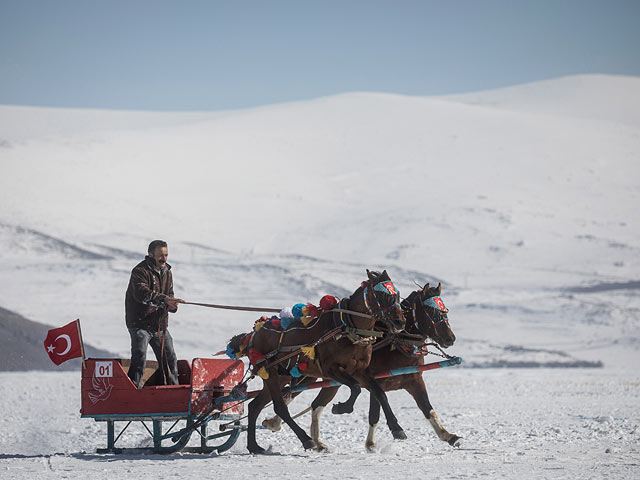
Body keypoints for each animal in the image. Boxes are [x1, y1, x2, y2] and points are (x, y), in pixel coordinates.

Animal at [232, 270, 408, 454]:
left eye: (397, 294)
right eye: (382, 295)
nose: (400, 322)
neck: (348, 327)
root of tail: (253, 334)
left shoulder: (361, 371)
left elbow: (380, 393)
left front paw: (397, 428)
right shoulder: (331, 369)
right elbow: (355, 388)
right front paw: (341, 408)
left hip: (281, 376)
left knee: (254, 406)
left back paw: (254, 446)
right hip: (270, 373)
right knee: (279, 407)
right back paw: (306, 440)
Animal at [262, 282, 462, 450]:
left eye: (445, 310)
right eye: (431, 311)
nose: (450, 338)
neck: (395, 343)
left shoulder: (414, 380)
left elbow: (427, 408)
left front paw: (448, 435)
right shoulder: (375, 381)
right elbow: (376, 412)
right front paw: (376, 441)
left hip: (327, 380)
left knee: (314, 404)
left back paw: (311, 438)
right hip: (307, 374)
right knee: (290, 395)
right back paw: (278, 424)